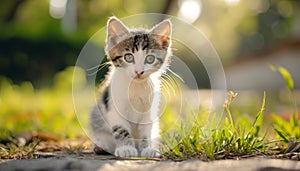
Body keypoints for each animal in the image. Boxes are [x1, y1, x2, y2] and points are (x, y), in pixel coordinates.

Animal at [89, 16, 171, 158]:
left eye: (150, 59)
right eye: (128, 57)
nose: (139, 72)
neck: (135, 87)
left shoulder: (149, 110)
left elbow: (146, 132)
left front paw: (147, 148)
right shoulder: (114, 107)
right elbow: (121, 129)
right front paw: (126, 148)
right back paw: (101, 146)